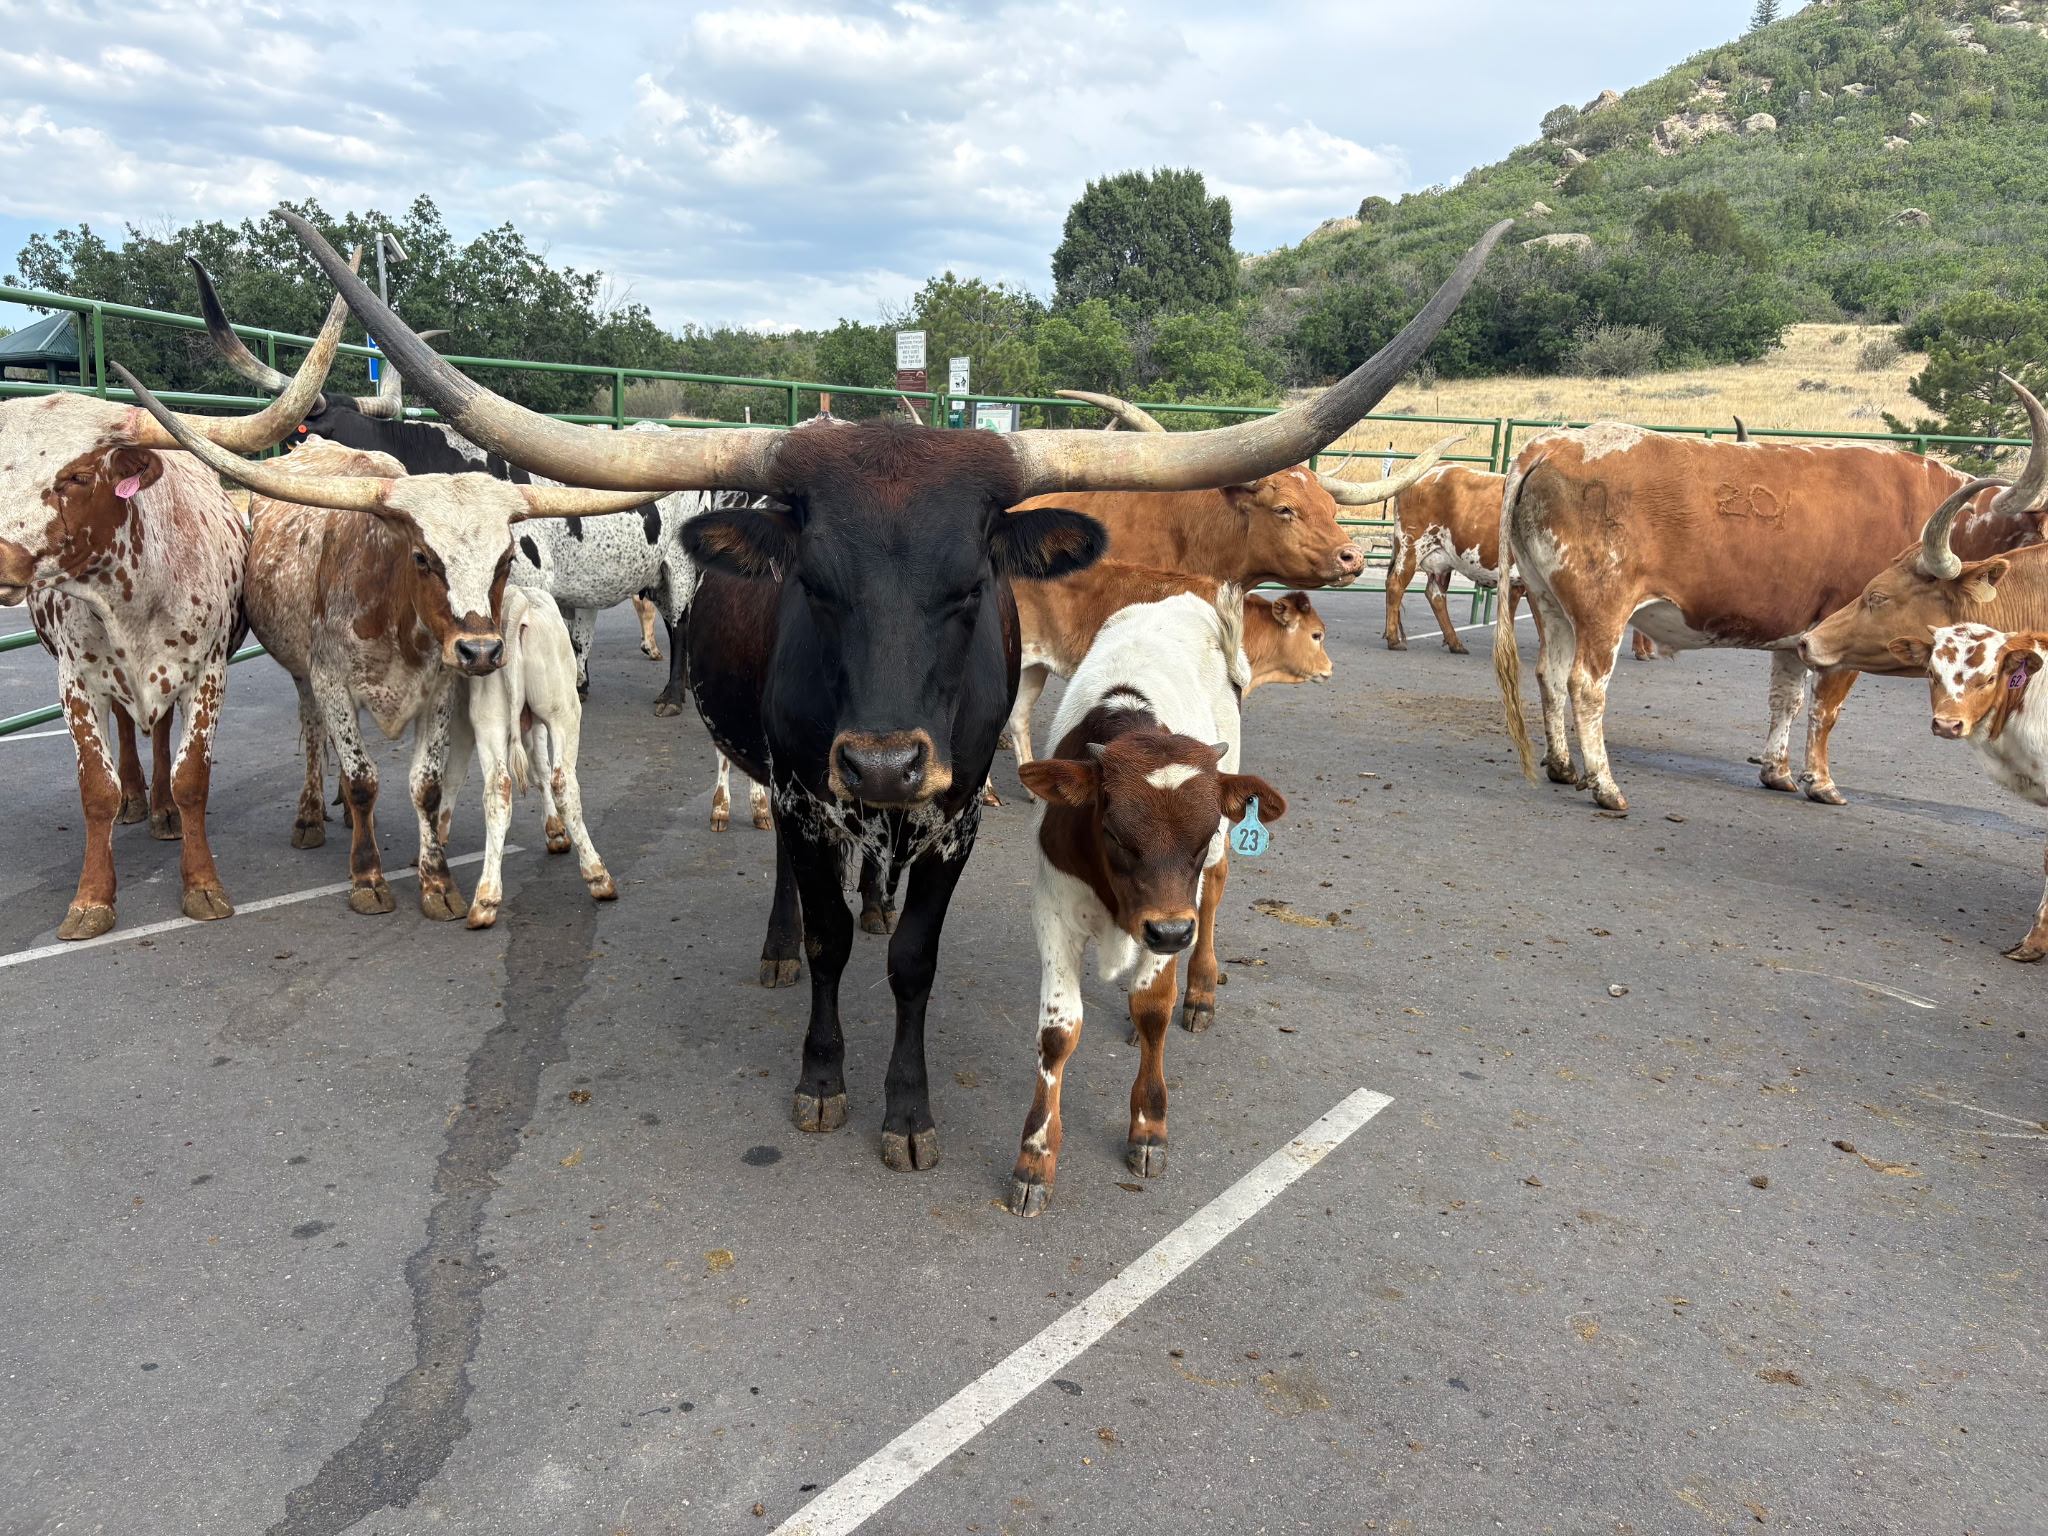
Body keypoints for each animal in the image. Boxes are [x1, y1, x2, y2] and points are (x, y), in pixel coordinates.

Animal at [0, 299, 347, 939]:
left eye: (78, 476)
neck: (130, 600)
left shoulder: (206, 674)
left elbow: (192, 781)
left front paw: (202, 884)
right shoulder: (75, 682)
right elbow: (95, 788)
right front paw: (92, 898)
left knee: (158, 733)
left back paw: (159, 809)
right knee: (129, 732)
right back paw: (138, 800)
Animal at [465, 585, 615, 928]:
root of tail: (519, 602)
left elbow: (536, 771)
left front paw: (553, 829)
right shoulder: (537, 723)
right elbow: (543, 771)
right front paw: (556, 831)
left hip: (489, 722)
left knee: (497, 791)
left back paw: (485, 900)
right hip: (563, 711)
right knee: (563, 781)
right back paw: (598, 877)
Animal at [1006, 589, 1286, 1215]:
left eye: (1200, 834)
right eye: (1113, 833)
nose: (1169, 936)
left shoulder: (1176, 908)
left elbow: (1154, 1007)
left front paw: (1149, 1128)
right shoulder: (1054, 909)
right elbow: (1058, 1033)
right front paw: (1035, 1157)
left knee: (1210, 905)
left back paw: (1198, 989)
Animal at [1492, 402, 2048, 813]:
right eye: (1876, 596)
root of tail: (1554, 443)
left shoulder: (1799, 635)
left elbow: (1788, 700)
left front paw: (1776, 772)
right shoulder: (1842, 639)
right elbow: (1825, 710)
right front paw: (1820, 782)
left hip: (1548, 602)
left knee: (1548, 674)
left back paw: (1563, 766)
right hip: (1601, 609)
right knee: (1586, 685)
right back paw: (1605, 786)